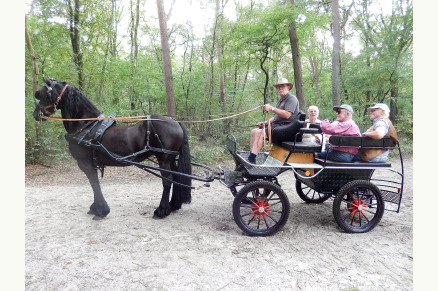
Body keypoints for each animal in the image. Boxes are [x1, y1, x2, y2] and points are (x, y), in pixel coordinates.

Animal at [33, 76, 191, 220]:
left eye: (43, 94)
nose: (35, 114)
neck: (86, 125)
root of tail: (174, 121)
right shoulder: (91, 163)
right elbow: (94, 183)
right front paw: (95, 207)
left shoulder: (85, 162)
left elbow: (94, 183)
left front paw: (101, 211)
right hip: (170, 159)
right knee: (176, 177)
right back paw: (173, 205)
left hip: (164, 158)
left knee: (167, 181)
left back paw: (161, 210)